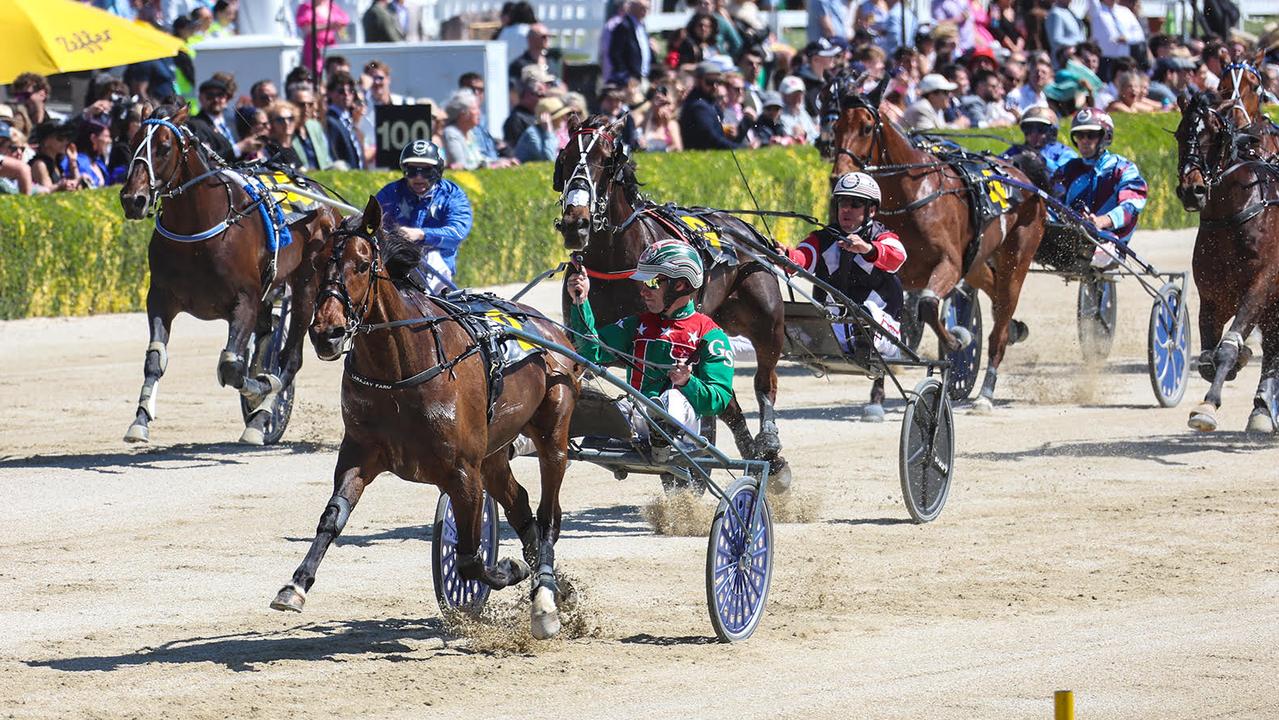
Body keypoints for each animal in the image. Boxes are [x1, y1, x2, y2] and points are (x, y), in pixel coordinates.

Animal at [118, 105, 340, 445]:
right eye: (131, 144)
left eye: (164, 147)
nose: (133, 199)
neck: (197, 229)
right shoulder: (160, 298)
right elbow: (155, 358)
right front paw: (139, 421)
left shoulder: (244, 300)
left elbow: (232, 367)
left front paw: (260, 390)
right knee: (268, 336)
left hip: (306, 285)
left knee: (290, 359)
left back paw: (261, 416)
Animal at [274, 199, 585, 639]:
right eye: (318, 264)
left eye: (363, 263)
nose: (326, 333)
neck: (399, 370)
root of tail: (548, 328)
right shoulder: (359, 453)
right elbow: (332, 518)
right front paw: (295, 585)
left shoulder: (463, 471)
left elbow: (470, 557)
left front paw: (510, 568)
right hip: (494, 453)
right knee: (522, 506)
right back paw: (557, 588)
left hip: (553, 432)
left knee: (548, 515)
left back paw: (544, 598)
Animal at [555, 113, 792, 483]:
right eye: (564, 160)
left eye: (606, 162)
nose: (575, 223)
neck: (613, 260)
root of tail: (739, 227)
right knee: (727, 402)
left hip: (764, 315)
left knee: (764, 379)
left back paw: (768, 447)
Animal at [823, 73, 1043, 414]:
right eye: (835, 128)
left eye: (867, 127)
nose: (838, 177)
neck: (911, 195)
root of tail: (1022, 176)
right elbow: (882, 324)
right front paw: (876, 397)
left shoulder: (947, 264)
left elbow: (927, 306)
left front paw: (955, 341)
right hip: (975, 261)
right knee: (993, 293)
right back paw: (1015, 329)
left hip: (1016, 257)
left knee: (1002, 316)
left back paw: (986, 392)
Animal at [1171, 87, 1279, 432]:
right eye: (1180, 133)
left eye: (1216, 135)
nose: (1192, 189)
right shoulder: (1212, 295)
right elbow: (1208, 357)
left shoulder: (1261, 285)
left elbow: (1228, 348)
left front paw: (1206, 406)